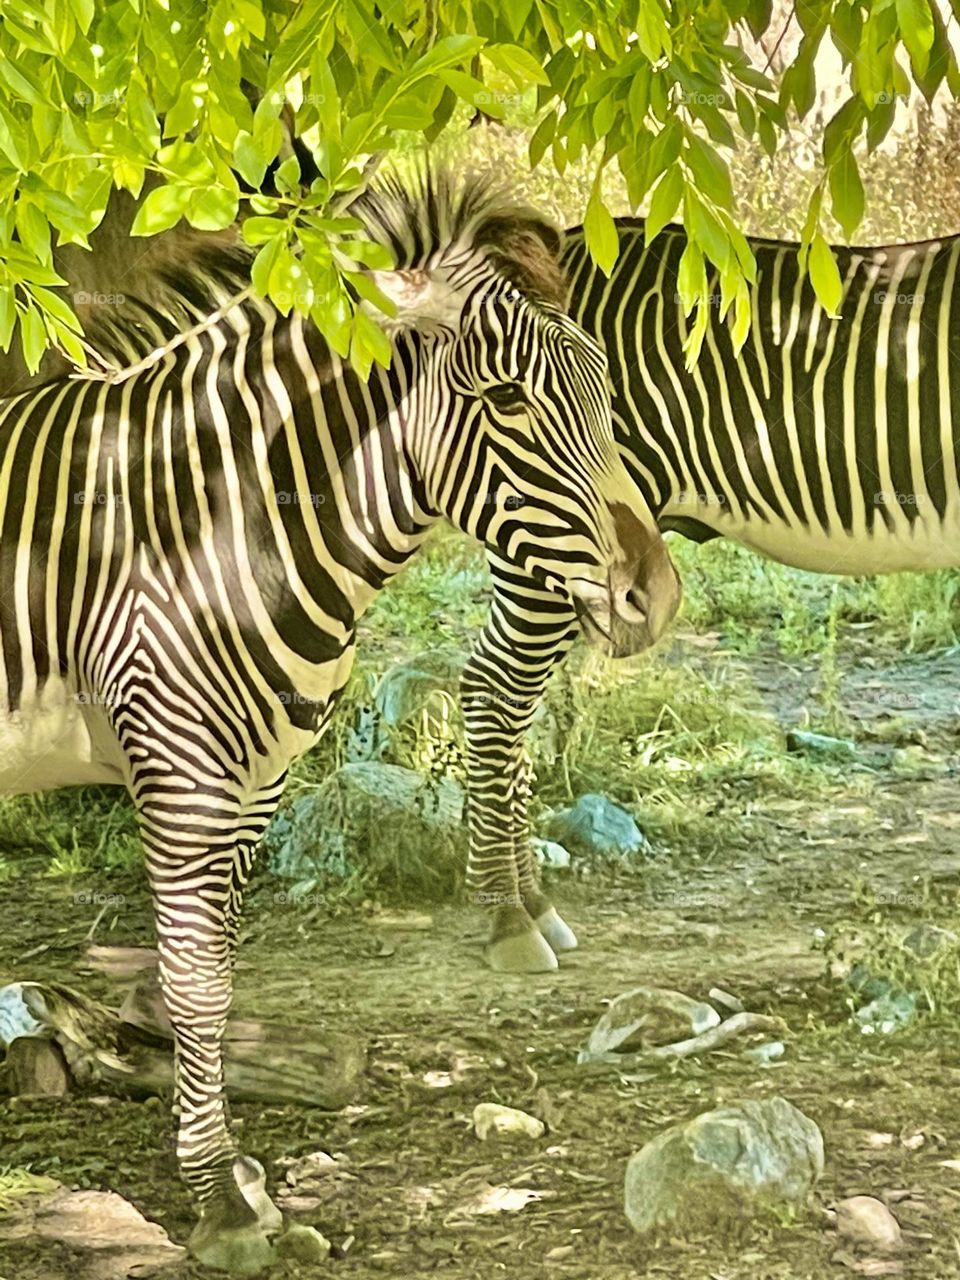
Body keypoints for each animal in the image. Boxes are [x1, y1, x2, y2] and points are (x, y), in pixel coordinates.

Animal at [0, 172, 681, 1273]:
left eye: (601, 386)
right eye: (508, 399)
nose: (655, 598)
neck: (212, 523)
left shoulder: (256, 779)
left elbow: (217, 977)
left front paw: (232, 1173)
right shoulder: (182, 773)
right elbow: (194, 984)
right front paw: (221, 1202)